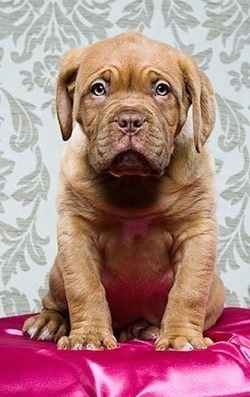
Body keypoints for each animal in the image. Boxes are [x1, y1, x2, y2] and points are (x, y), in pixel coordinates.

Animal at [23, 32, 225, 352]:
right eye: (99, 89)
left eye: (162, 89)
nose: (130, 120)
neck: (133, 183)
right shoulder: (76, 232)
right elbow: (84, 287)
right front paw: (88, 337)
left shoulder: (197, 231)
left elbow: (188, 290)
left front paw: (180, 337)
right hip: (56, 273)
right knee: (55, 300)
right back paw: (49, 322)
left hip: (216, 290)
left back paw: (148, 329)